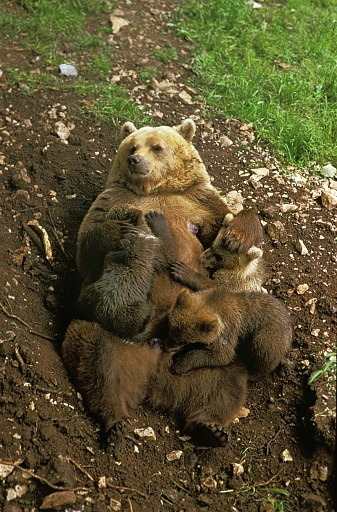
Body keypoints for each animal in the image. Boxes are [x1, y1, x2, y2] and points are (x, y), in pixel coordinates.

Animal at [61, 118, 255, 446]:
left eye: (157, 147)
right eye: (132, 146)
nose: (135, 160)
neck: (153, 190)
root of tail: (156, 371)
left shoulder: (198, 201)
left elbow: (223, 218)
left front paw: (238, 235)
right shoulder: (111, 200)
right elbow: (88, 248)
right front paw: (118, 229)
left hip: (204, 355)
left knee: (225, 382)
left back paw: (210, 428)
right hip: (113, 334)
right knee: (95, 355)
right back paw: (118, 420)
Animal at [161, 288, 292, 380]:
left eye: (184, 341)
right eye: (171, 329)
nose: (167, 348)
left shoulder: (227, 331)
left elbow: (223, 355)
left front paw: (179, 364)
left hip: (268, 335)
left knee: (264, 353)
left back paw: (251, 374)